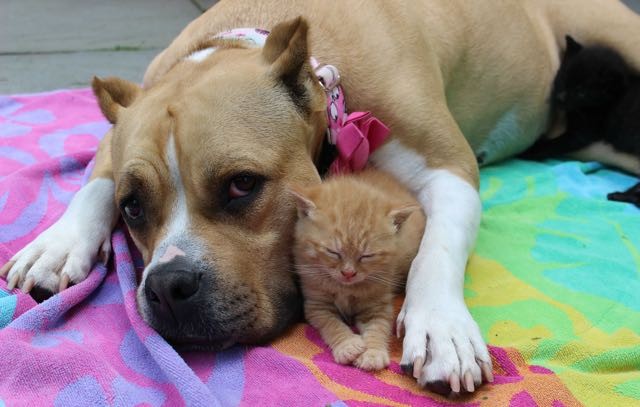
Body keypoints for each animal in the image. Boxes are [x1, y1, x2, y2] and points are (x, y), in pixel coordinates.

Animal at [292, 167, 424, 372]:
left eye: (367, 256)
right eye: (333, 252)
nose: (348, 273)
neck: (345, 288)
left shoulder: (378, 304)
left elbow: (378, 327)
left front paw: (373, 353)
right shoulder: (316, 304)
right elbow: (331, 324)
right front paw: (348, 345)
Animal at [524, 35, 636, 207]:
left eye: (581, 92)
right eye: (563, 78)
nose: (560, 97)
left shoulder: (585, 131)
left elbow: (558, 143)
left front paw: (531, 151)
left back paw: (621, 196)